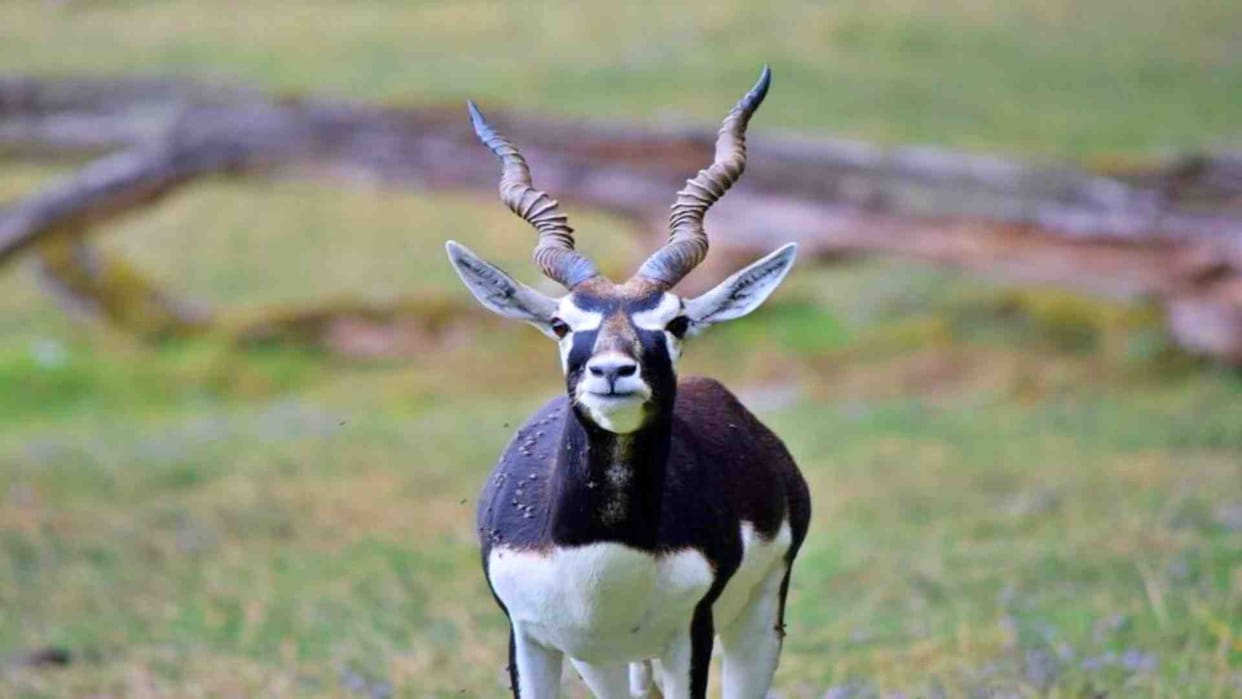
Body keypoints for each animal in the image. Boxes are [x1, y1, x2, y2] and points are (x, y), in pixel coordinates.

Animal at [445, 67, 810, 699]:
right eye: (561, 323)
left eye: (677, 321)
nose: (613, 371)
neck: (603, 552)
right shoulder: (529, 638)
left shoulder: (692, 634)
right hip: (607, 661)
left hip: (756, 623)